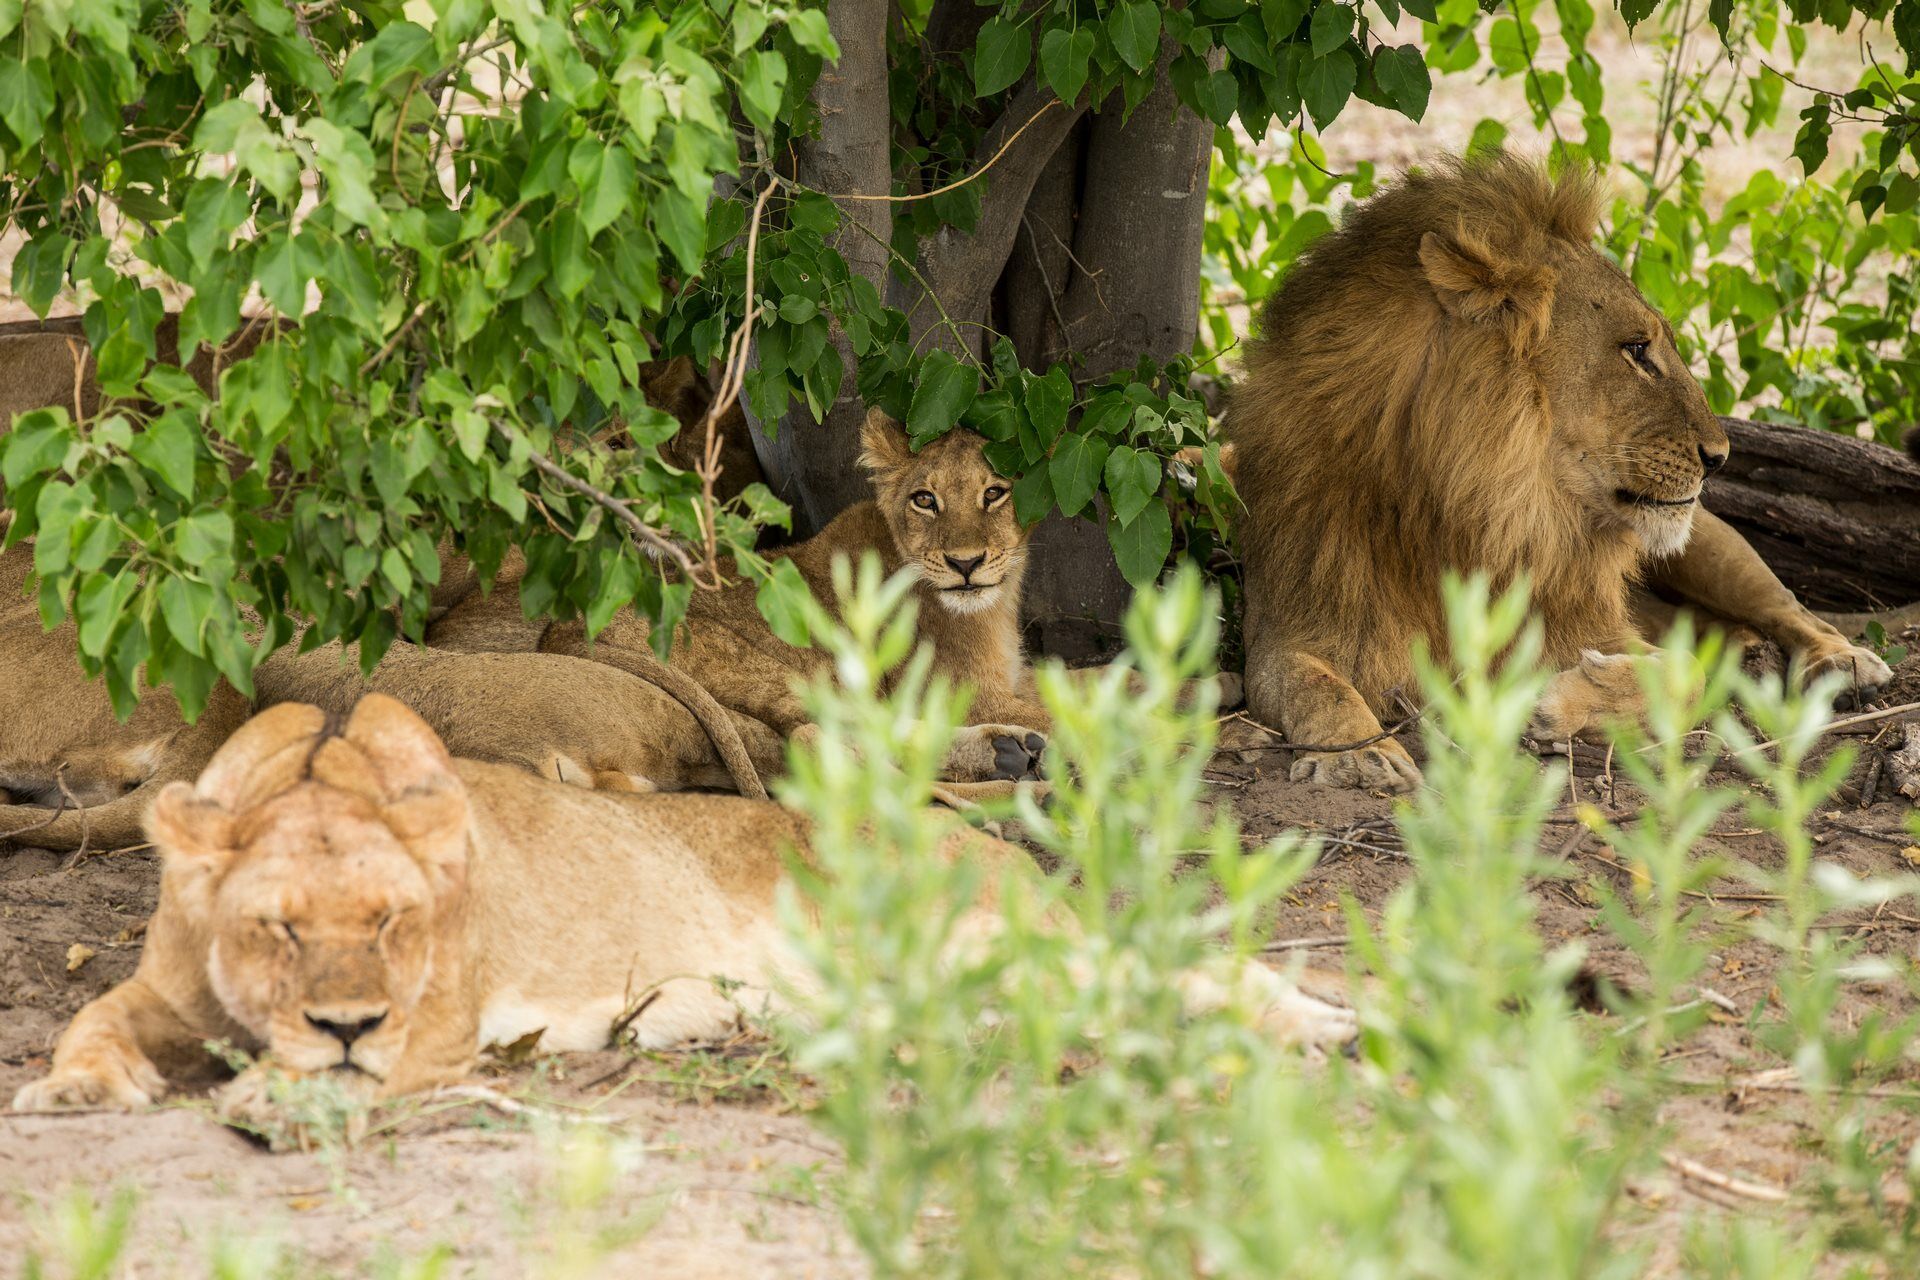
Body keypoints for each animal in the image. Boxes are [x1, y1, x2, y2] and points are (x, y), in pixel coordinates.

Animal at [18, 690, 1367, 1113]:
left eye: (396, 921)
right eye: (276, 924)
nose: (345, 1021)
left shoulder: (438, 1025)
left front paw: (274, 1082)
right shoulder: (155, 989)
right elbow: (86, 1020)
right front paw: (79, 1085)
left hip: (1001, 937)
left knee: (1188, 975)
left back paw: (1336, 1026)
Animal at [1228, 150, 1889, 790]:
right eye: (1637, 350)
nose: (1721, 456)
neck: (1469, 514)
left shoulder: (1591, 625)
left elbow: (1684, 676)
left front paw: (1553, 702)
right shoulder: (1291, 625)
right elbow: (1313, 685)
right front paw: (1359, 754)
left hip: (1711, 545)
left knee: (1788, 607)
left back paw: (1845, 663)